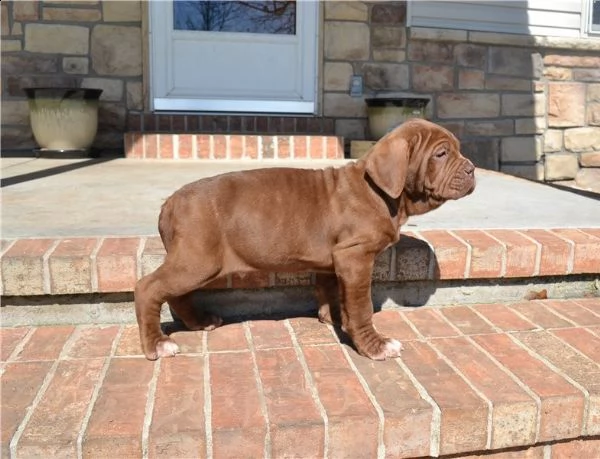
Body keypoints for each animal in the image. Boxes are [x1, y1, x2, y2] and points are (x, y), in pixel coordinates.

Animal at [135, 119, 474, 362]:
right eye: (441, 154)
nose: (472, 169)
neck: (380, 193)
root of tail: (169, 203)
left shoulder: (335, 260)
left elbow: (334, 292)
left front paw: (335, 318)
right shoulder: (355, 256)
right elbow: (361, 305)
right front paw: (373, 345)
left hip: (197, 262)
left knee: (175, 294)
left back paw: (199, 321)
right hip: (198, 260)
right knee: (148, 288)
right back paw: (157, 344)